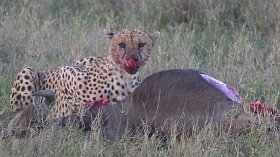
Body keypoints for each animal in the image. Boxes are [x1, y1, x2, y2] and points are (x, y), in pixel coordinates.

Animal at [9, 28, 160, 117]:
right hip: (27, 71)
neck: (124, 78)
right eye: (121, 45)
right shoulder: (67, 73)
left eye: (141, 45)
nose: (132, 59)